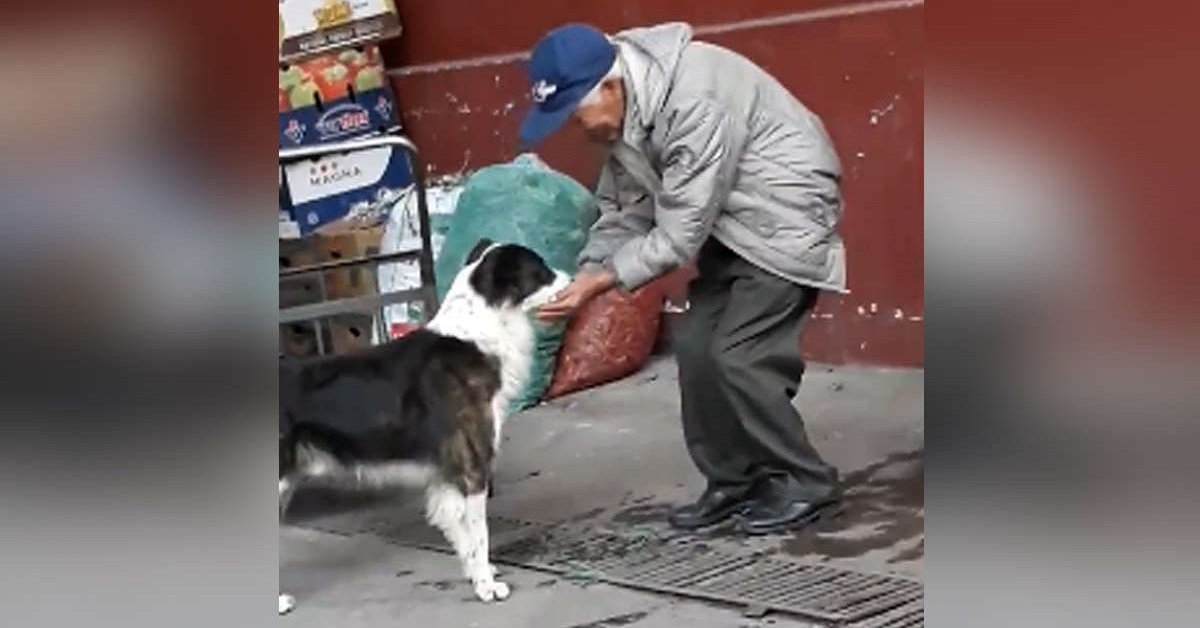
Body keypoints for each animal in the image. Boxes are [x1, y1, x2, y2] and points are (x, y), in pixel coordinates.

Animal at [278, 242, 568, 614]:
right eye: (541, 270)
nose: (572, 278)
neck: (479, 332)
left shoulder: (448, 478)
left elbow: (464, 538)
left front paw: (479, 575)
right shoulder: (472, 469)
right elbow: (480, 536)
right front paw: (487, 588)